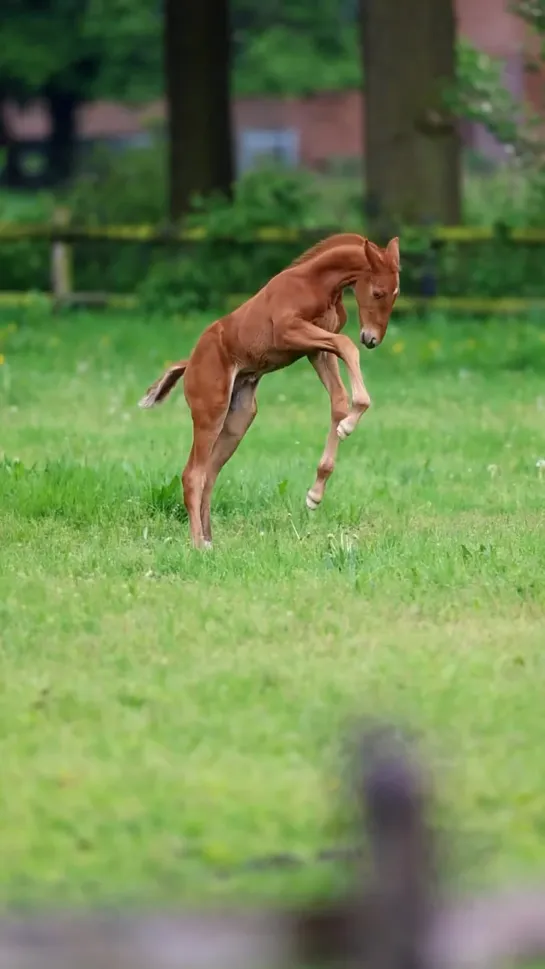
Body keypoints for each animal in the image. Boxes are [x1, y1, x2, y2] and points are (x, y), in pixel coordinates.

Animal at [138, 233, 398, 548]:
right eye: (378, 293)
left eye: (396, 294)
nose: (372, 339)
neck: (316, 282)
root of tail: (190, 362)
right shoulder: (289, 332)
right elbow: (347, 346)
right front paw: (351, 419)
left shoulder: (316, 350)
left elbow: (338, 398)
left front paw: (315, 493)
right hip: (210, 412)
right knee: (192, 474)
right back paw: (198, 544)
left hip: (238, 419)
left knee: (209, 474)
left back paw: (210, 541)